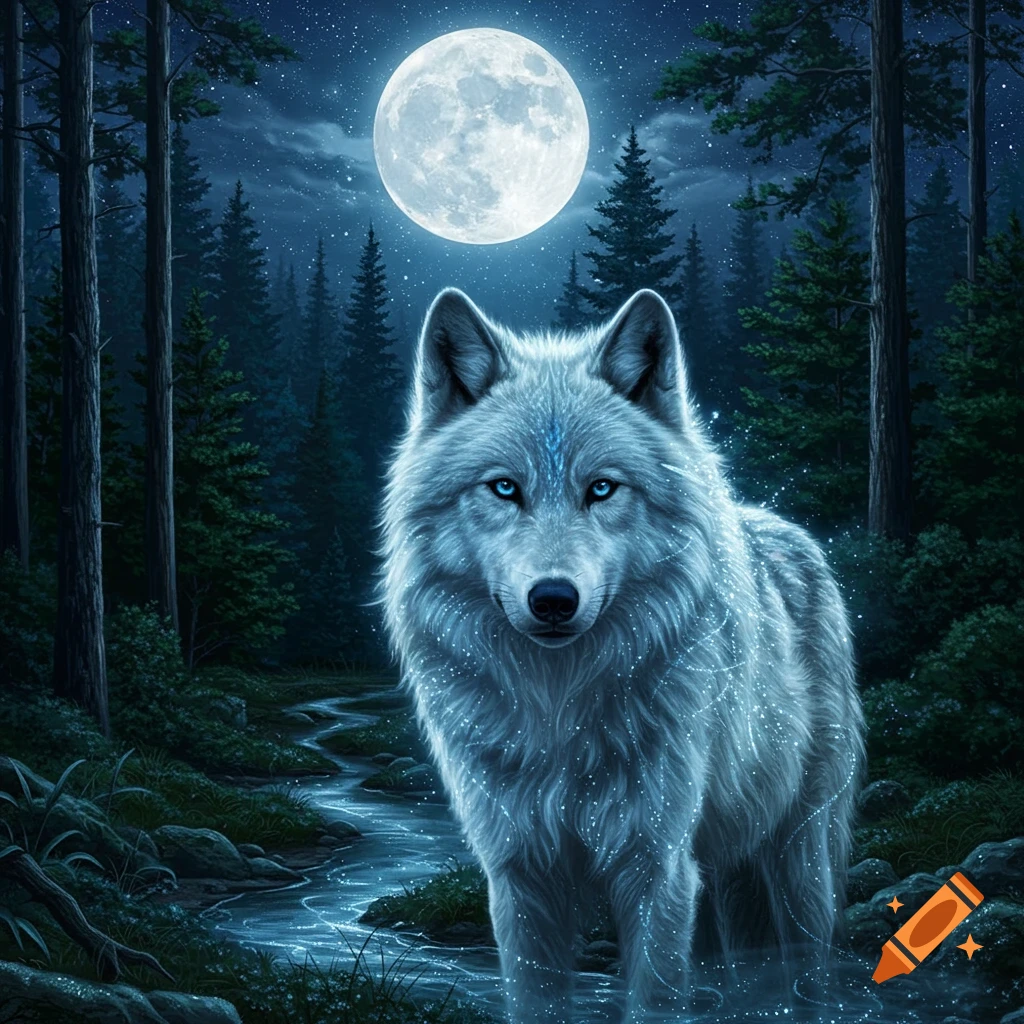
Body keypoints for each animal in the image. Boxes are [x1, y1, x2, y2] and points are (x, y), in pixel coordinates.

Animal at [380, 287, 864, 1024]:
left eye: (602, 488)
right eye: (504, 488)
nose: (553, 599)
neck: (558, 709)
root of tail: (787, 530)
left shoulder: (657, 867)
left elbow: (654, 996)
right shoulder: (521, 876)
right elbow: (536, 999)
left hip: (799, 857)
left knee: (811, 965)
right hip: (727, 873)